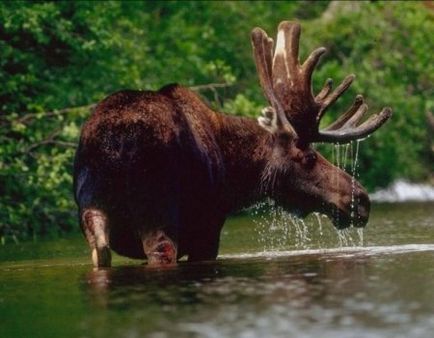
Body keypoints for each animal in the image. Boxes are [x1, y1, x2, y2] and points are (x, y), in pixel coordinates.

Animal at [74, 22, 394, 268]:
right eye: (309, 157)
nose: (361, 199)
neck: (235, 177)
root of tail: (116, 139)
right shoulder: (208, 227)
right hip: (156, 211)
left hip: (91, 207)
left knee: (100, 250)